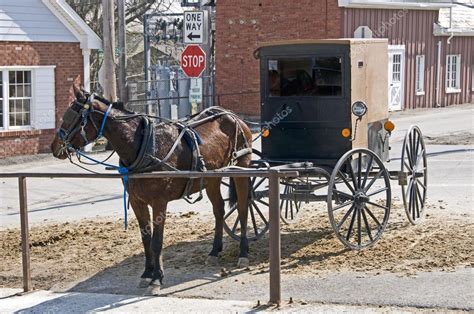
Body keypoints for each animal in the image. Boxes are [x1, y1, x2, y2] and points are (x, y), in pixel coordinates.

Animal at [50, 86, 254, 294]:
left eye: (71, 117)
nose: (54, 147)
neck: (143, 146)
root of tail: (232, 115)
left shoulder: (159, 202)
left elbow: (157, 242)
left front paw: (157, 279)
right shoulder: (136, 200)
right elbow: (146, 239)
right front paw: (147, 274)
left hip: (242, 167)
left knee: (243, 209)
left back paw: (243, 253)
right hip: (212, 178)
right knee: (219, 209)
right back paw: (214, 251)